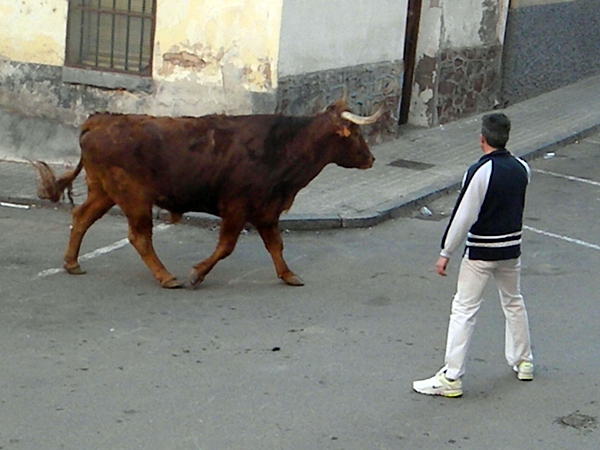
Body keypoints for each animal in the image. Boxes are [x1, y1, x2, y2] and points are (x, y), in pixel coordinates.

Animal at [32, 100, 380, 288]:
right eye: (356, 133)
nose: (371, 158)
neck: (283, 145)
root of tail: (100, 119)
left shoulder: (266, 210)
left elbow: (276, 245)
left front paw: (288, 274)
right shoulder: (237, 207)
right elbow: (226, 246)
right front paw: (197, 273)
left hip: (104, 190)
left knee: (82, 217)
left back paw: (72, 263)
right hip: (133, 196)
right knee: (139, 236)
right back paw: (167, 277)